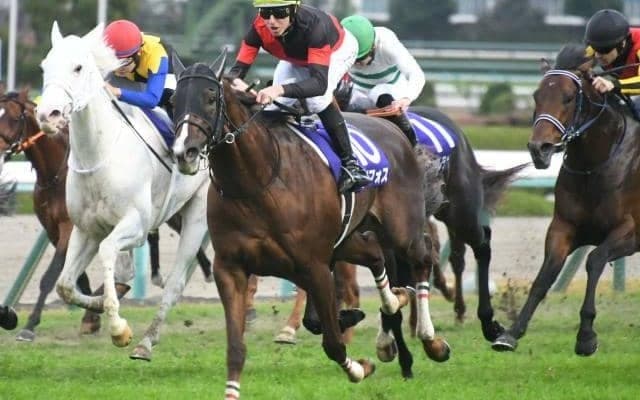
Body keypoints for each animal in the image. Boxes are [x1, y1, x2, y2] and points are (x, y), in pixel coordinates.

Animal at [0, 89, 212, 342]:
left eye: (14, 118)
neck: (55, 174)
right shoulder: (56, 229)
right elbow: (76, 277)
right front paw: (92, 314)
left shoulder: (69, 227)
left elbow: (50, 277)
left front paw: (30, 325)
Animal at [35, 21, 210, 361]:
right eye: (44, 66)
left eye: (78, 67)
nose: (47, 115)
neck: (99, 156)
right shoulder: (85, 229)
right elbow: (65, 284)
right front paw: (101, 305)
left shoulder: (136, 226)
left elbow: (108, 252)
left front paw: (119, 328)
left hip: (198, 214)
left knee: (176, 284)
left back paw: (147, 340)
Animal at [170, 53, 450, 398]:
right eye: (173, 101)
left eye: (210, 98)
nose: (184, 152)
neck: (258, 181)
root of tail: (391, 125)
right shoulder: (230, 268)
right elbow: (236, 348)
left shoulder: (314, 266)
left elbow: (332, 342)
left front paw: (359, 367)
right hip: (346, 239)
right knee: (374, 253)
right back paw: (393, 302)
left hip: (401, 229)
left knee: (422, 257)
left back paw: (431, 340)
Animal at [492, 43, 640, 355]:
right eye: (536, 96)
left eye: (569, 97)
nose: (540, 148)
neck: (595, 164)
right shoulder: (563, 226)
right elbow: (545, 275)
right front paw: (510, 333)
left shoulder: (631, 231)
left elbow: (594, 260)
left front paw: (586, 336)